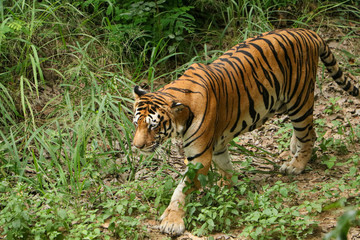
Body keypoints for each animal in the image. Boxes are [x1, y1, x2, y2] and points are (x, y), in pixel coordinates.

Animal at [132, 27, 360, 234]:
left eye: (153, 126)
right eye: (136, 124)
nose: (137, 146)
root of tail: (306, 31)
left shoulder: (199, 157)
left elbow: (182, 189)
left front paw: (172, 221)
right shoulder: (217, 144)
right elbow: (225, 165)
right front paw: (228, 186)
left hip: (299, 100)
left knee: (309, 134)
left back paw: (296, 165)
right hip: (283, 102)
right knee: (308, 132)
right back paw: (293, 149)